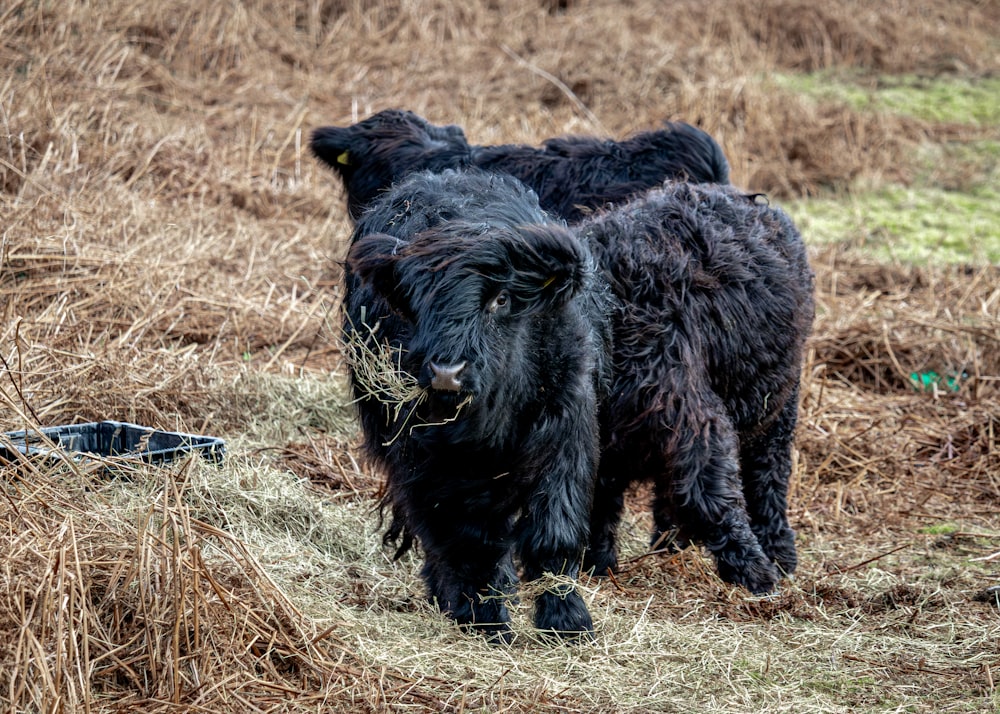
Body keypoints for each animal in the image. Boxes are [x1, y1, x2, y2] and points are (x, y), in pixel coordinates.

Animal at [344, 170, 608, 644]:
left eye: (500, 299)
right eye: (415, 301)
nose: (446, 371)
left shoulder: (567, 432)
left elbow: (553, 534)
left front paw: (567, 621)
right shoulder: (426, 462)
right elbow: (467, 541)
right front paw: (483, 618)